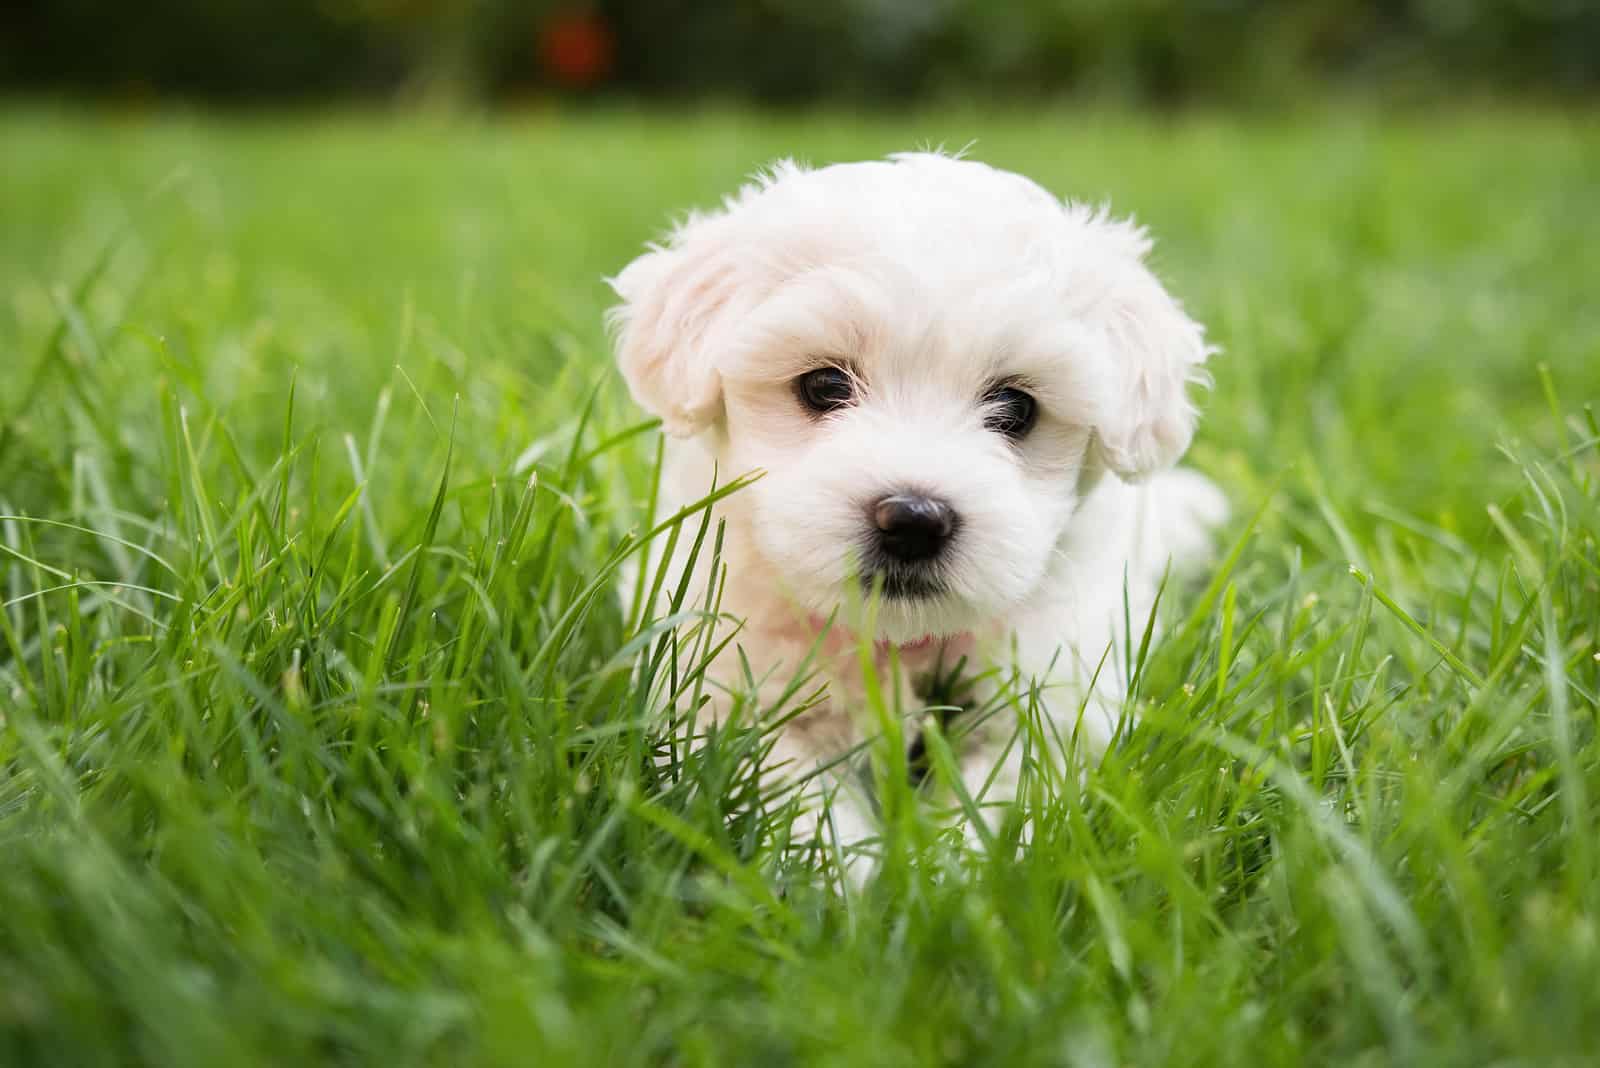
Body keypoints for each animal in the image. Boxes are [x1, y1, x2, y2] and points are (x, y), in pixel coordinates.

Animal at [608, 150, 1222, 863]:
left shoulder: (1048, 701)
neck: (897, 642)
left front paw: (955, 871)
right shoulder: (729, 693)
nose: (913, 520)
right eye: (824, 385)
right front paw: (846, 878)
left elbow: (1002, 800)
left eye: (1016, 408)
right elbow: (791, 796)